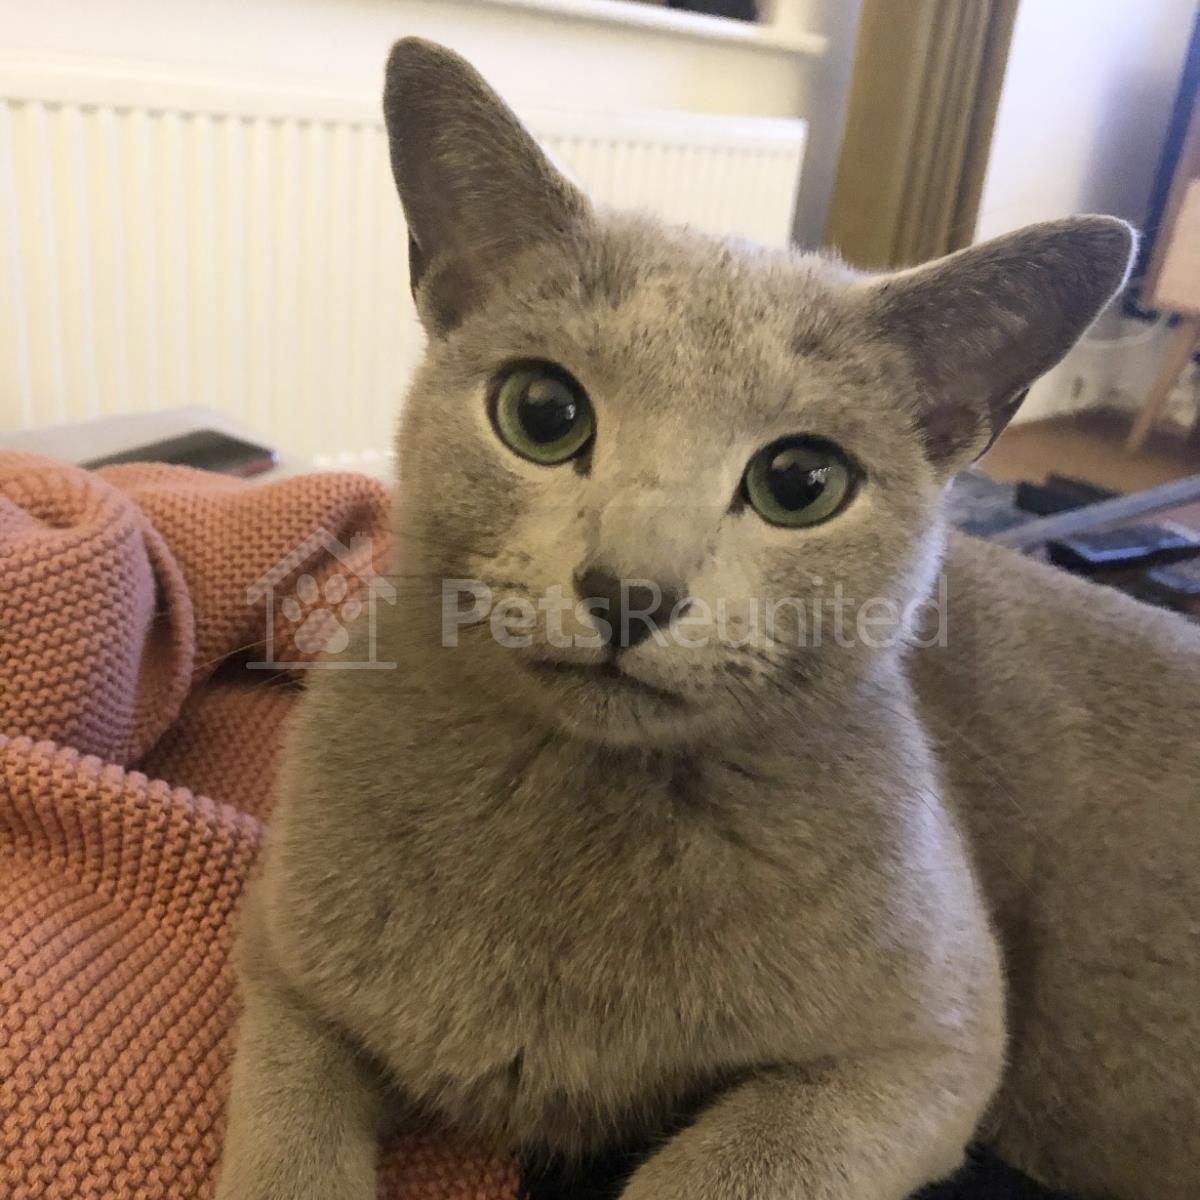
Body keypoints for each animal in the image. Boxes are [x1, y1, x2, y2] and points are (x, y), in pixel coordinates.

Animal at [215, 37, 1199, 1200]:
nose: (629, 589)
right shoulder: (285, 967)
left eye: (802, 482)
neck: (576, 813)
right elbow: (286, 1139)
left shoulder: (934, 1049)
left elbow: (732, 1163)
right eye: (541, 413)